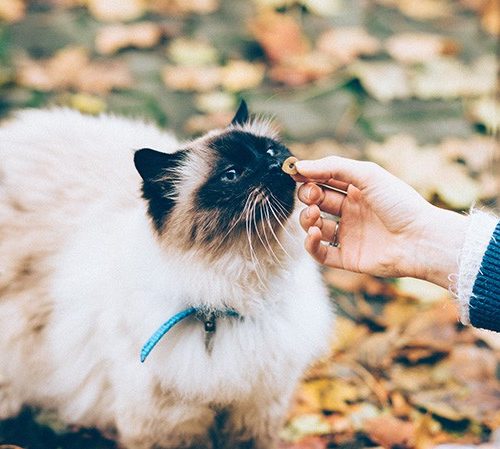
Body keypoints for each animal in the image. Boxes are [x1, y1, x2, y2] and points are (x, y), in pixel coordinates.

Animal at [0, 101, 336, 448]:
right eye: (231, 174)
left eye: (270, 151)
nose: (275, 166)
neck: (236, 295)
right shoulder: (169, 426)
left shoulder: (255, 412)